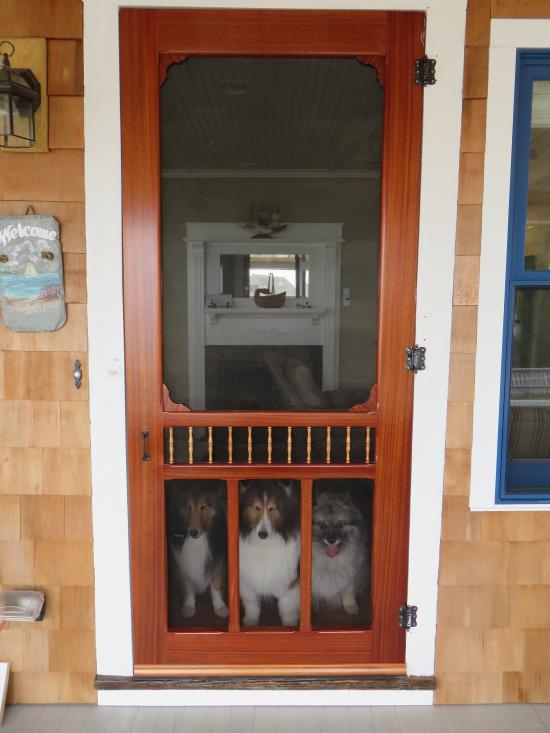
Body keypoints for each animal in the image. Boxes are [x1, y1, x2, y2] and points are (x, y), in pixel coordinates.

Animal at [167, 480, 230, 616]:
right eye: (188, 507)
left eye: (203, 507)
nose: (193, 532)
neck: (197, 540)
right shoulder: (181, 564)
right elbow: (187, 586)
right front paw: (188, 606)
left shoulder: (219, 559)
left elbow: (216, 583)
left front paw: (220, 607)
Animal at [239, 478, 302, 628]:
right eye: (256, 507)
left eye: (272, 508)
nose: (263, 534)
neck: (264, 544)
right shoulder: (246, 578)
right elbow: (251, 602)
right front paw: (251, 621)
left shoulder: (288, 578)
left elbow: (286, 603)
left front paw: (289, 622)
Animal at [312, 488, 368, 616]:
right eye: (323, 525)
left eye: (340, 524)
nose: (331, 540)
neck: (330, 561)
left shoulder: (351, 575)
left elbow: (348, 593)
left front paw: (350, 606)